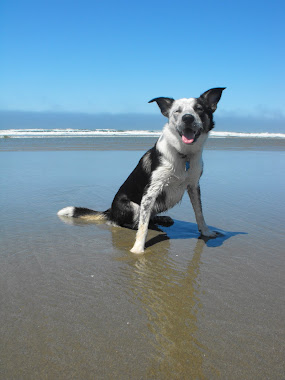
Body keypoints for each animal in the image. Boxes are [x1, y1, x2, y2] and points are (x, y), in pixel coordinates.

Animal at [57, 88, 225, 254]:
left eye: (199, 109)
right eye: (177, 111)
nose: (188, 118)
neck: (184, 154)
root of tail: (110, 211)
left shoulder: (194, 186)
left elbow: (199, 213)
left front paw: (206, 232)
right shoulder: (151, 191)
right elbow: (142, 226)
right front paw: (138, 249)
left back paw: (162, 220)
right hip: (133, 206)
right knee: (124, 222)